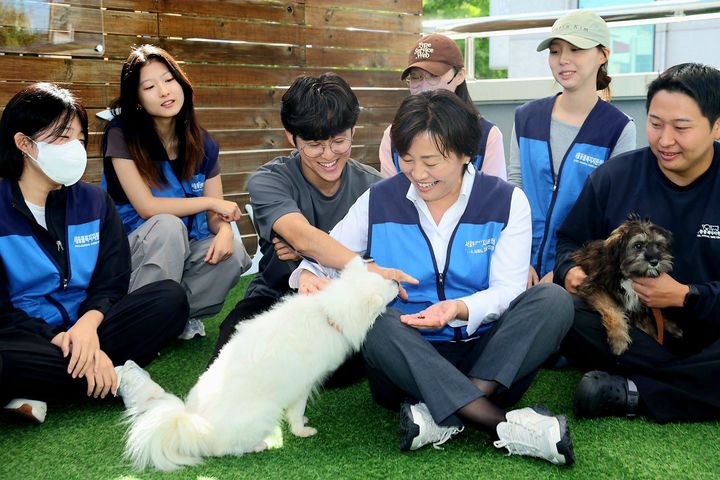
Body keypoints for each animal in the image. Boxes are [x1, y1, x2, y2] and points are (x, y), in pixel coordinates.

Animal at [121, 256, 396, 470]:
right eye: (386, 287)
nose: (397, 280)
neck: (328, 311)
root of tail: (195, 426)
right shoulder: (302, 385)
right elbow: (297, 412)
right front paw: (302, 430)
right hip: (262, 415)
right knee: (225, 449)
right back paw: (259, 445)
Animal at [572, 216, 680, 354]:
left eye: (658, 245)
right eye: (638, 245)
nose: (655, 261)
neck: (628, 276)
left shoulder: (640, 310)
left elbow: (648, 330)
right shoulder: (594, 286)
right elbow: (611, 308)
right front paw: (618, 338)